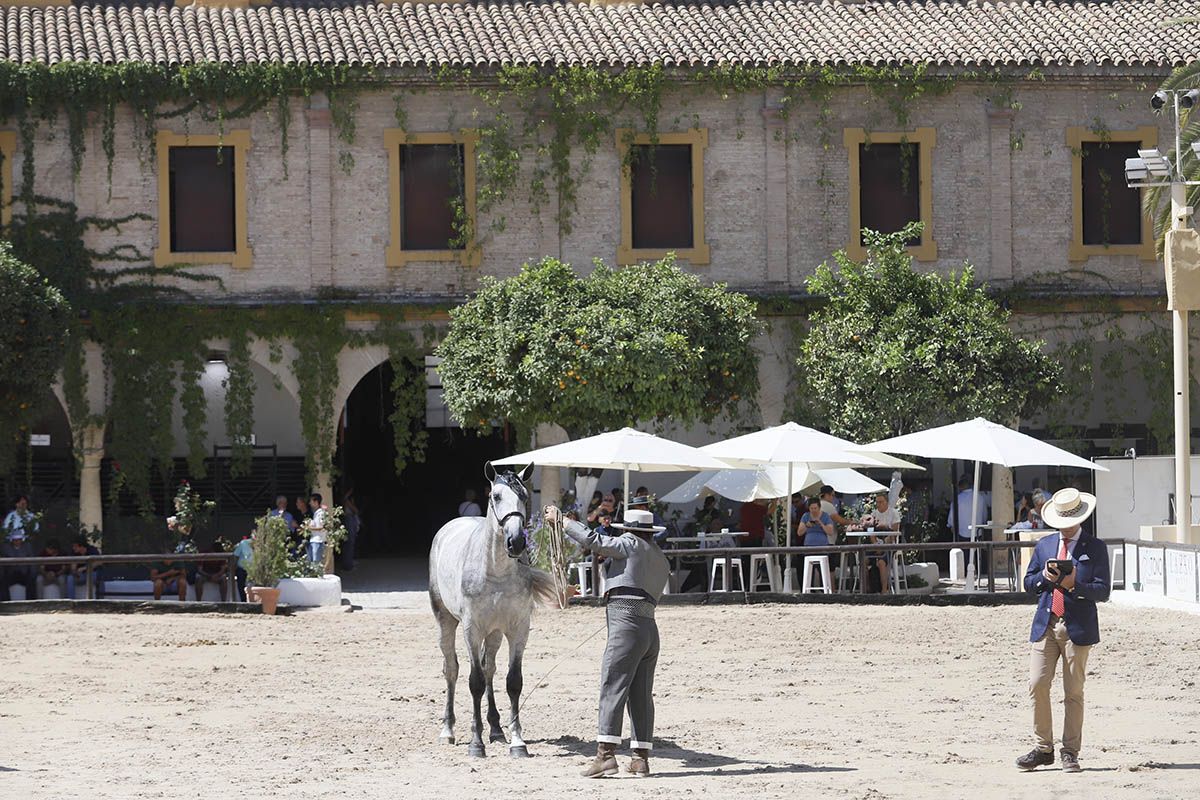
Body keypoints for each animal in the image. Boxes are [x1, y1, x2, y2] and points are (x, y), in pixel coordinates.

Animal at [429, 462, 554, 758]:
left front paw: (517, 742)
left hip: (495, 633)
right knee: (451, 669)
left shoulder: (518, 629)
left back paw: (496, 729)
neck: (496, 571)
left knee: (490, 669)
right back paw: (448, 730)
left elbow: (513, 681)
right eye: (496, 496)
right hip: (445, 620)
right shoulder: (472, 629)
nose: (516, 542)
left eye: (524, 496)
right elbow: (474, 681)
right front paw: (476, 743)